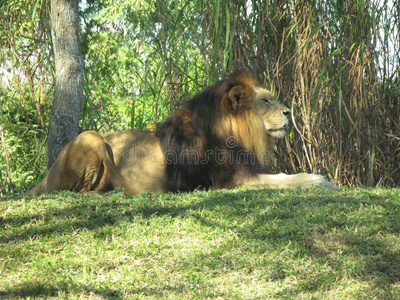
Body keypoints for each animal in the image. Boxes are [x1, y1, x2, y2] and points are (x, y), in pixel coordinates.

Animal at [31, 72, 338, 195]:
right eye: (265, 101)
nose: (289, 112)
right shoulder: (231, 180)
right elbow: (283, 179)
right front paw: (319, 180)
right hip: (91, 136)